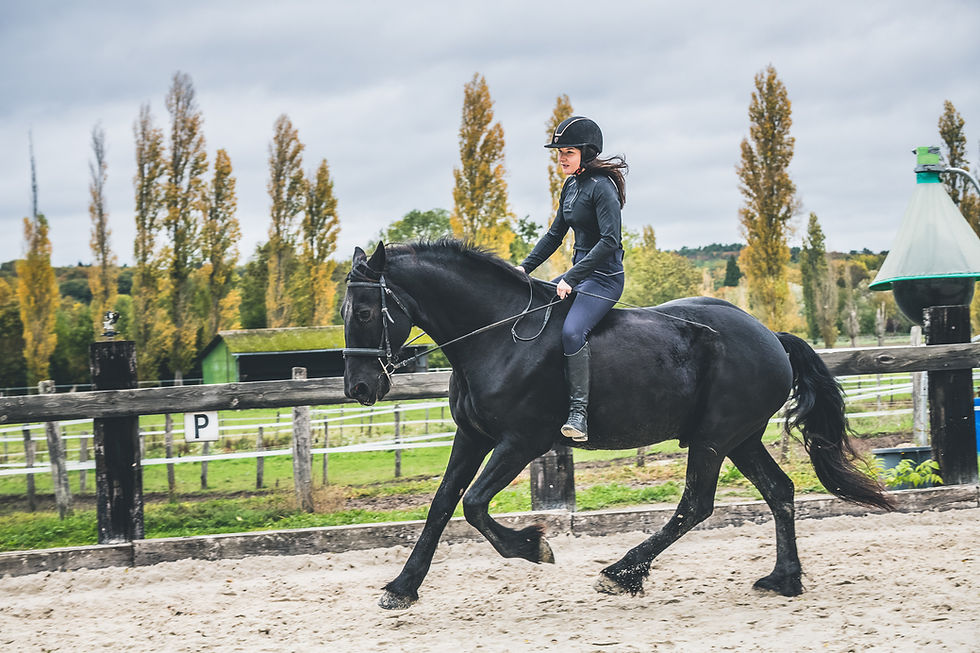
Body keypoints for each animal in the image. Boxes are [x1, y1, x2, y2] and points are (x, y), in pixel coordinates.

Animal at [341, 240, 893, 610]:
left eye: (365, 311)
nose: (359, 388)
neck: (498, 336)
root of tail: (771, 336)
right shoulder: (473, 437)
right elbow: (441, 506)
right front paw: (402, 588)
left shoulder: (521, 441)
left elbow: (474, 505)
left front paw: (534, 546)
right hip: (740, 439)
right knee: (779, 491)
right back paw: (784, 579)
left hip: (714, 439)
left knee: (696, 505)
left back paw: (622, 573)